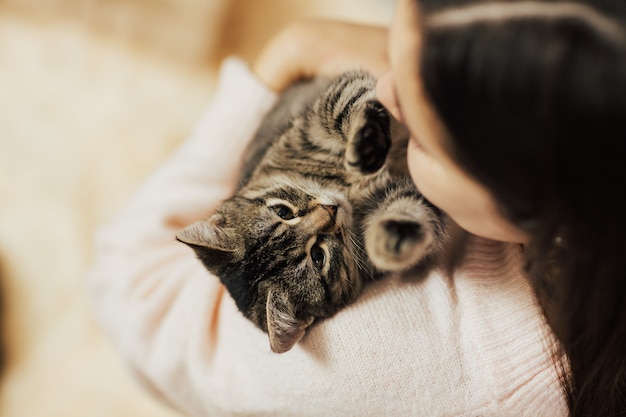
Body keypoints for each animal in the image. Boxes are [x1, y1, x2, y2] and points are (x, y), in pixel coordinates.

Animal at [178, 70, 446, 352]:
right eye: (318, 257)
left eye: (283, 212)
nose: (330, 209)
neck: (345, 190)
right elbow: (409, 206)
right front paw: (392, 241)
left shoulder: (317, 118)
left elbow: (345, 105)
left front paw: (367, 142)